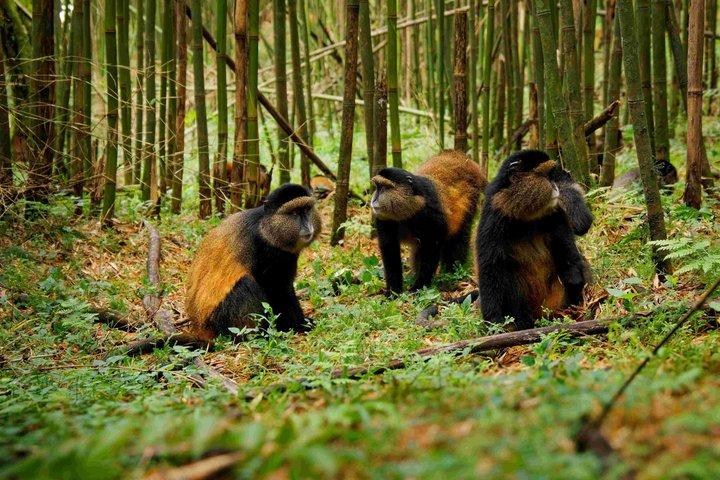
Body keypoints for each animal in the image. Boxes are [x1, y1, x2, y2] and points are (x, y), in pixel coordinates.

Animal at [185, 183, 321, 341]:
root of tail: (200, 327)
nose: (307, 226)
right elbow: (277, 289)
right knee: (246, 283)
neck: (268, 227)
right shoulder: (265, 250)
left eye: (306, 210)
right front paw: (299, 325)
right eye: (294, 213)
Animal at [371, 150, 487, 294]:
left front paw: (418, 287)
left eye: (384, 188)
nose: (374, 200)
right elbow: (390, 249)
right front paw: (393, 291)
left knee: (457, 239)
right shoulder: (383, 220)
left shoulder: (432, 216)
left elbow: (432, 248)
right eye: (377, 187)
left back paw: (450, 272)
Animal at [476, 150, 593, 330]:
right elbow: (490, 266)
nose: (556, 187)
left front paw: (574, 279)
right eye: (544, 175)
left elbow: (569, 251)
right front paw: (493, 321)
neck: (525, 216)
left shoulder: (556, 215)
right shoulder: (493, 219)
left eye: (551, 175)